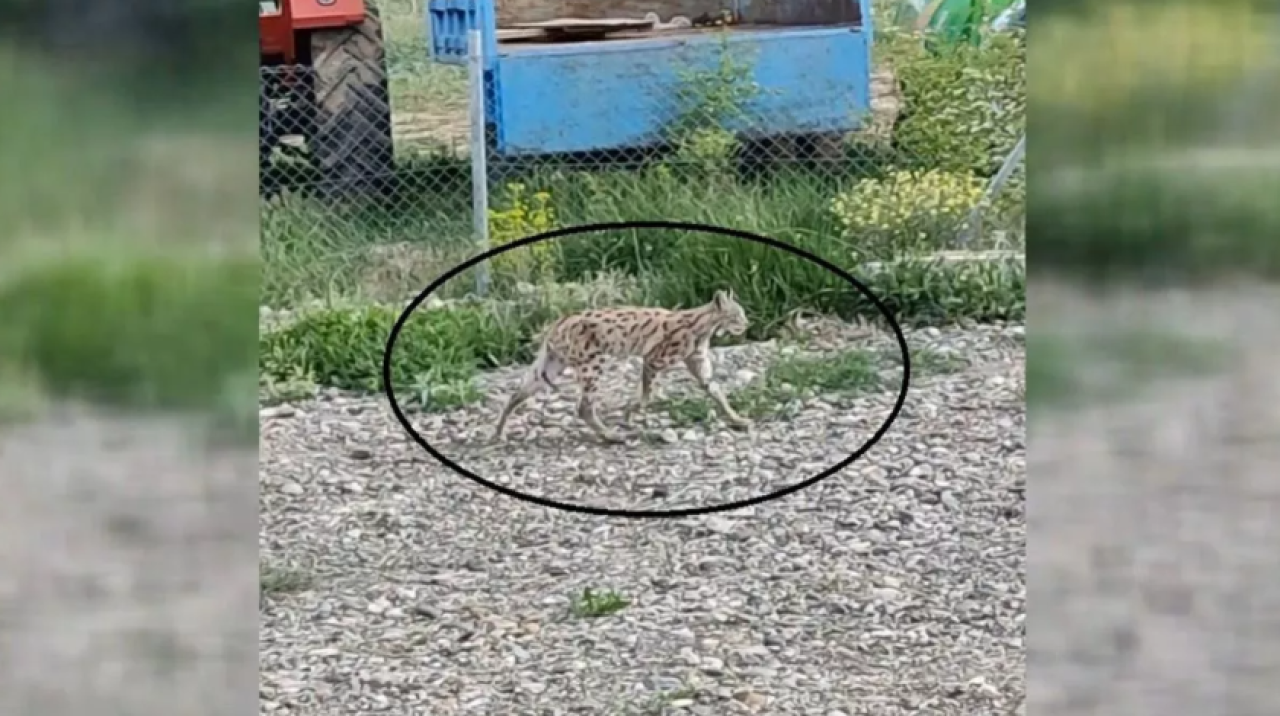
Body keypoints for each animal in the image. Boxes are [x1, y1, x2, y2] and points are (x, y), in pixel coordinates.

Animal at [488, 289, 747, 443]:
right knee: (583, 407)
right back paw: (611, 435)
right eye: (736, 316)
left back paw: (498, 432)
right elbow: (646, 395)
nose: (747, 324)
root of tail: (558, 321)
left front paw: (737, 419)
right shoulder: (653, 359)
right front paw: (629, 414)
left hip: (552, 365)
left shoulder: (698, 364)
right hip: (593, 362)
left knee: (516, 394)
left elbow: (717, 391)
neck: (704, 326)